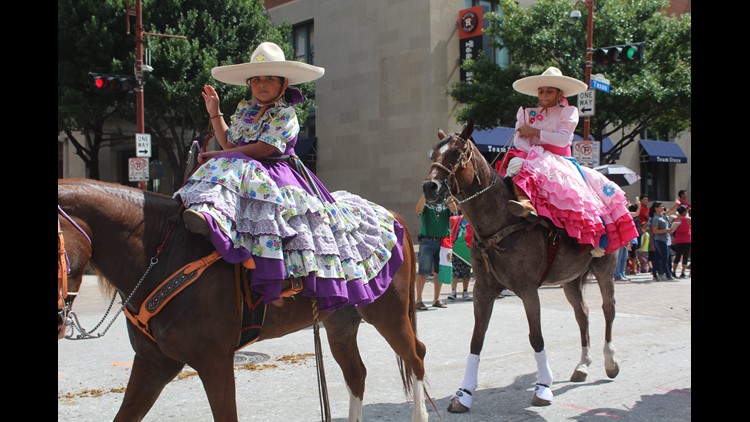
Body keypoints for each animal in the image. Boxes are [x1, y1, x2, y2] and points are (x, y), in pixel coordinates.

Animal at [58, 179, 432, 422]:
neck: (163, 253)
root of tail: (393, 216)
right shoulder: (155, 363)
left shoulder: (214, 361)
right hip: (340, 323)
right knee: (357, 374)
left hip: (388, 314)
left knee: (415, 357)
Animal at [424, 122, 624, 412]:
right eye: (433, 154)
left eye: (457, 153)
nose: (430, 186)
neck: (501, 221)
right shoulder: (483, 290)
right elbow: (477, 339)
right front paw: (464, 393)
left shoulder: (529, 290)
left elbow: (536, 337)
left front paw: (543, 388)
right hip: (570, 280)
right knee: (583, 315)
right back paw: (582, 365)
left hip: (605, 270)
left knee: (608, 310)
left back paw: (610, 362)